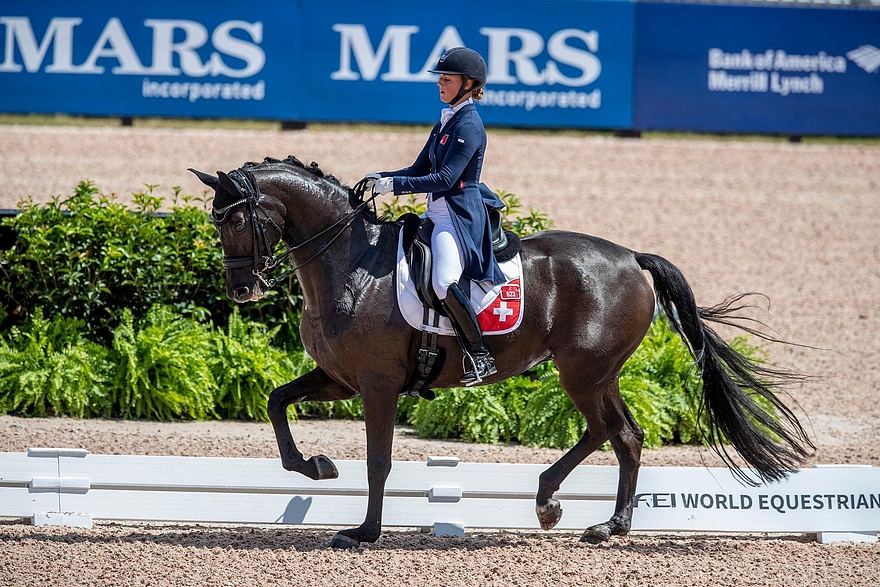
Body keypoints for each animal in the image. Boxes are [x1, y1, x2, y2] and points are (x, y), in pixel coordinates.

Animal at [189, 156, 816, 552]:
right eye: (216, 222)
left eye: (236, 220)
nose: (241, 290)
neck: (350, 264)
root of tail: (632, 257)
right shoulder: (339, 377)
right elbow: (276, 403)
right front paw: (316, 466)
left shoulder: (376, 384)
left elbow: (378, 461)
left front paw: (363, 533)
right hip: (598, 373)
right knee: (624, 436)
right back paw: (595, 521)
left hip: (582, 371)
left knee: (611, 432)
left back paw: (565, 509)